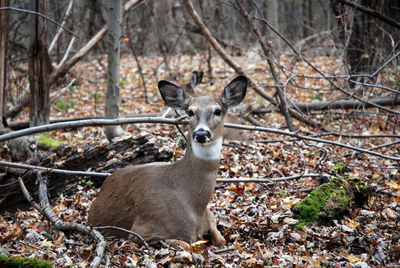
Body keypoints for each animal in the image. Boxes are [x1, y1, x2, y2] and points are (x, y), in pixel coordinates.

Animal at [87, 75, 247, 247]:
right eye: (190, 111)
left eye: (218, 111)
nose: (201, 133)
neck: (194, 205)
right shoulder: (142, 231)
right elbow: (186, 245)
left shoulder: (210, 217)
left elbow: (221, 240)